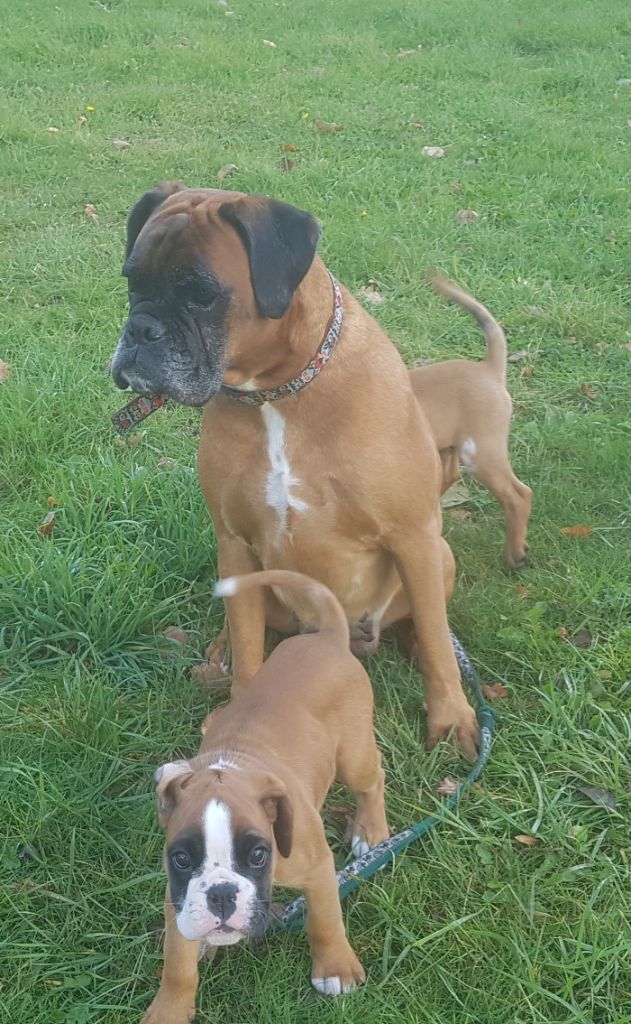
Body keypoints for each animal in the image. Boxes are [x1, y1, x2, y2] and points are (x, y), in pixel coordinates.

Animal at [111, 182, 479, 758]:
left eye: (201, 294)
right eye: (132, 283)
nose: (140, 328)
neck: (277, 393)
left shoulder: (413, 536)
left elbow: (442, 642)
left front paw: (452, 717)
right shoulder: (235, 542)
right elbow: (248, 644)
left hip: (438, 556)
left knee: (427, 623)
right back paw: (220, 649)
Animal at [142, 569, 389, 1024]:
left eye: (258, 855)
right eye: (181, 859)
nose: (222, 895)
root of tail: (328, 637)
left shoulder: (317, 868)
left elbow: (325, 920)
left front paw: (335, 969)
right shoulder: (178, 897)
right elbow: (177, 965)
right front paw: (169, 1008)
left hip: (354, 755)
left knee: (372, 778)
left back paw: (370, 829)